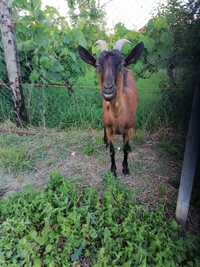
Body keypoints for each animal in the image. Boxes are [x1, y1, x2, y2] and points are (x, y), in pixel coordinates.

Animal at [78, 39, 144, 176]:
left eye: (121, 65)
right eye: (98, 66)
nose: (108, 90)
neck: (118, 114)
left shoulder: (129, 129)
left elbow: (125, 149)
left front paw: (125, 168)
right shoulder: (109, 128)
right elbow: (112, 150)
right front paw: (113, 170)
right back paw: (105, 142)